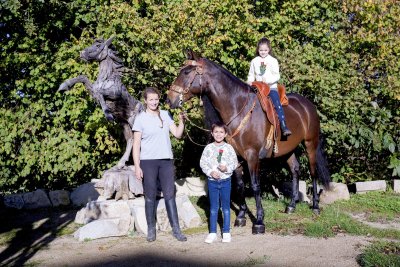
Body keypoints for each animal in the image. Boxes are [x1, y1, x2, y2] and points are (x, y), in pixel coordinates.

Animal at [166, 50, 332, 234]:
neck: (238, 108)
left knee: (313, 172)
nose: (169, 99)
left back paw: (315, 206)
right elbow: (239, 185)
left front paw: (259, 221)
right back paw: (291, 206)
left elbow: (254, 185)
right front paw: (241, 216)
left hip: (310, 144)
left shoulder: (252, 156)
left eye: (187, 72)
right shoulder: (237, 157)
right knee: (295, 170)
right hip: (287, 150)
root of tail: (308, 105)